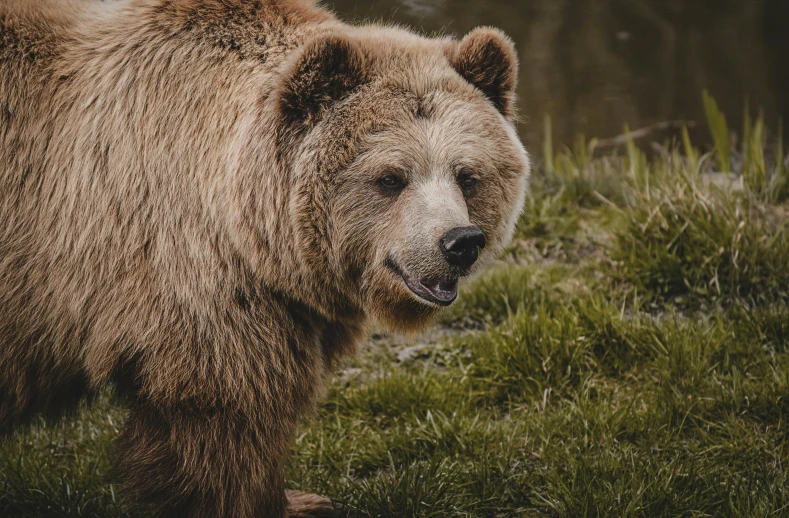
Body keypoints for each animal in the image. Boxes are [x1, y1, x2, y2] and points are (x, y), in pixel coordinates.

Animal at [1, 0, 528, 516]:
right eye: (390, 178)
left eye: (466, 174)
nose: (459, 242)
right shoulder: (195, 283)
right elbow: (227, 415)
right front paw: (274, 500)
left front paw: (301, 499)